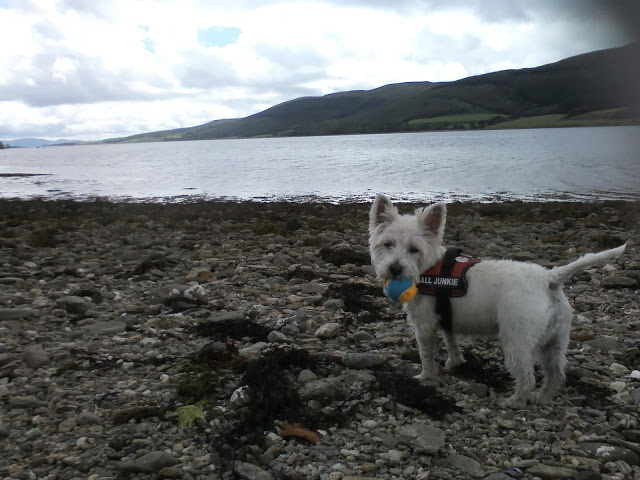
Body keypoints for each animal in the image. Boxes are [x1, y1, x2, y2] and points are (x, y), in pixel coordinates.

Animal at [368, 193, 628, 406]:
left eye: (414, 249)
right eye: (387, 244)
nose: (394, 269)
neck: (430, 267)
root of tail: (548, 278)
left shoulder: (424, 325)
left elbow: (426, 353)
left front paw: (425, 376)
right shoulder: (446, 319)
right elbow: (452, 341)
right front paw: (455, 362)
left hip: (516, 338)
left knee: (527, 376)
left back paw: (513, 401)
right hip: (556, 339)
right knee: (555, 373)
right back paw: (542, 398)